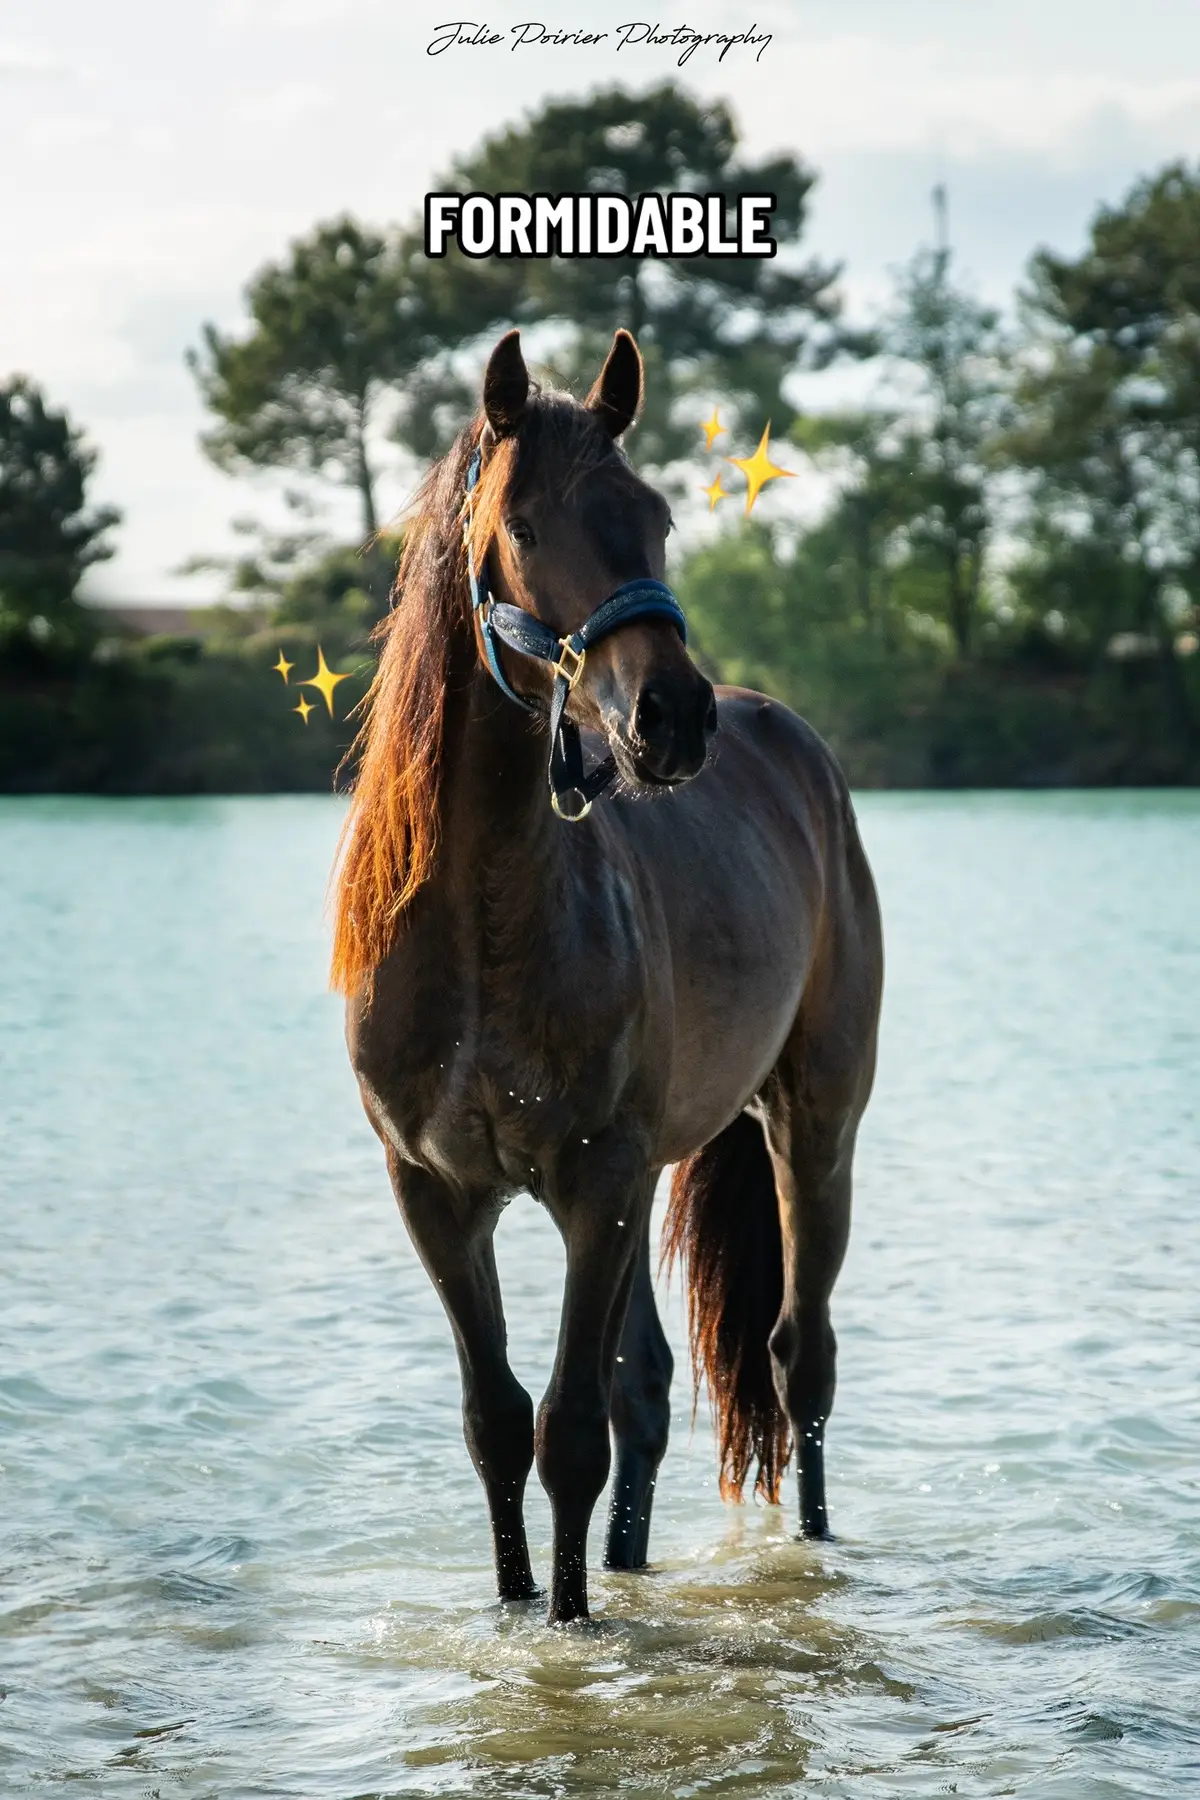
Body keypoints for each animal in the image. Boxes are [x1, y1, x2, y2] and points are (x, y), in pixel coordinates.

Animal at [331, 327, 881, 1634]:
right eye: (525, 524)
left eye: (658, 515)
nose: (673, 717)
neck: (479, 925)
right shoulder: (438, 1195)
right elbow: (497, 1421)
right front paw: (520, 1604)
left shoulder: (595, 1183)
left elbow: (568, 1429)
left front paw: (572, 1628)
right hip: (653, 1169)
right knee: (651, 1387)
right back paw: (633, 1561)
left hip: (812, 1129)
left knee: (799, 1360)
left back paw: (814, 1549)